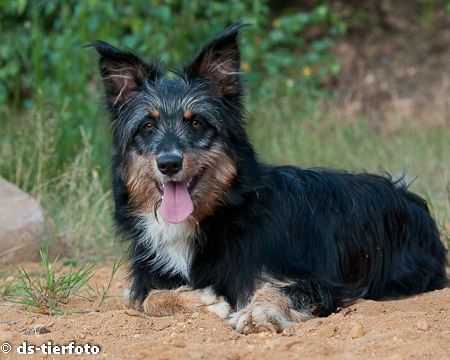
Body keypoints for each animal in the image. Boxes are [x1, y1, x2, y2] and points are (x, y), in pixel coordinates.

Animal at [89, 21, 448, 332]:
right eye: (147, 126)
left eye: (197, 123)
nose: (168, 163)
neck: (217, 216)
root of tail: (404, 192)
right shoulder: (146, 277)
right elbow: (147, 298)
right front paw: (204, 301)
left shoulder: (314, 280)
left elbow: (276, 290)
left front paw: (257, 313)